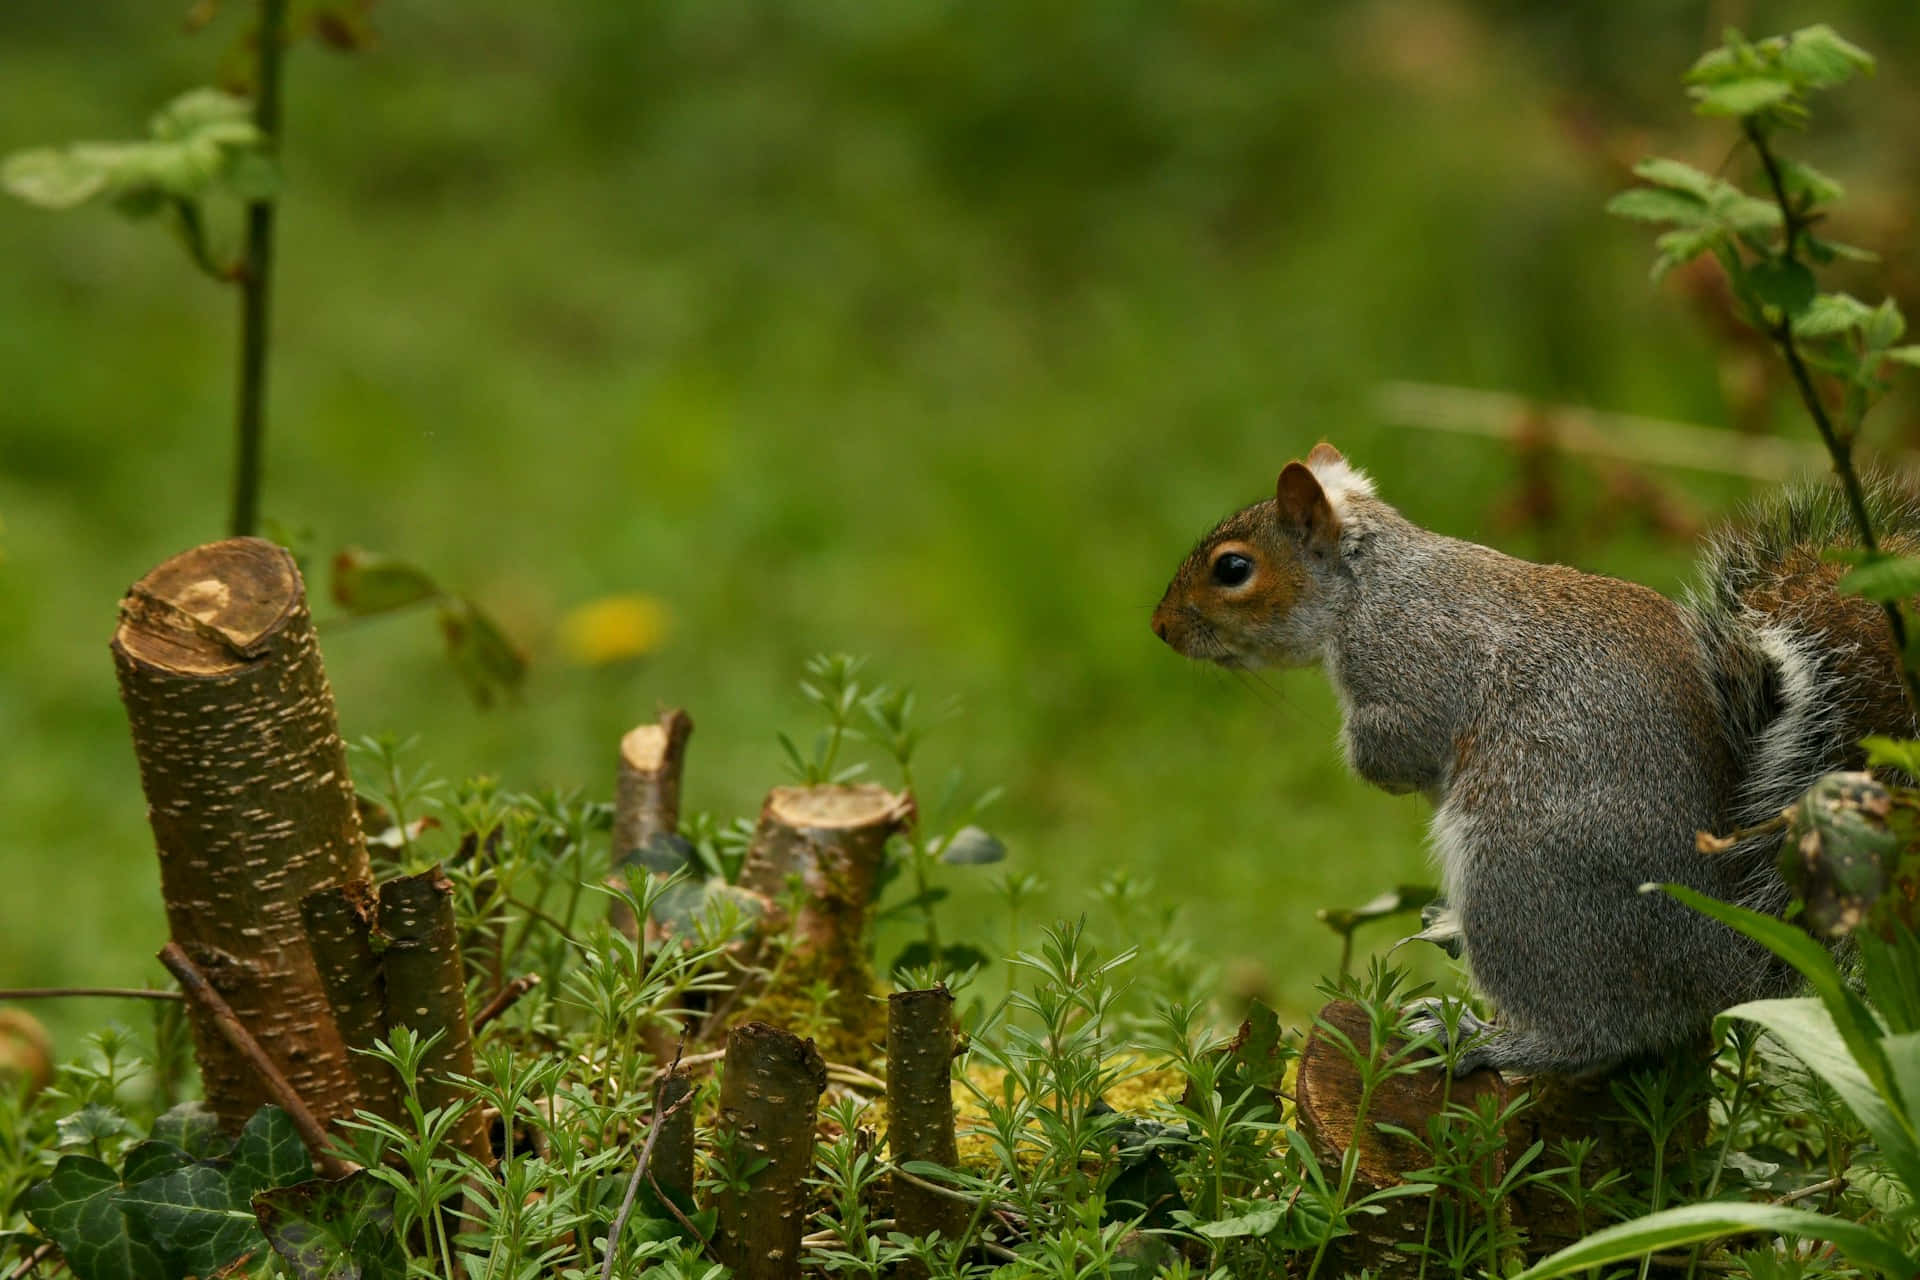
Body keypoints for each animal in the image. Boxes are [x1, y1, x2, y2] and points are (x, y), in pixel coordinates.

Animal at [1152, 445, 1920, 1074]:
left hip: (1520, 877)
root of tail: (1730, 965)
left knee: (1592, 1034)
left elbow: (1397, 749)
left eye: (1233, 569)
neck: (1370, 584)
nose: (1160, 628)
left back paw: (1484, 1040)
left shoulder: (1411, 668)